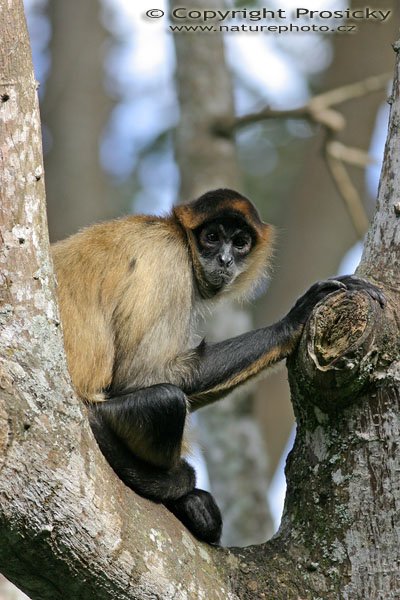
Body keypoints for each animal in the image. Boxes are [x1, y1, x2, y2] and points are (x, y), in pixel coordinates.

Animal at [51, 190, 382, 548]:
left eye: (239, 243)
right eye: (211, 238)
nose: (224, 260)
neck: (174, 232)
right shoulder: (167, 260)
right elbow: (140, 377)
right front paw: (294, 320)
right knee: (165, 399)